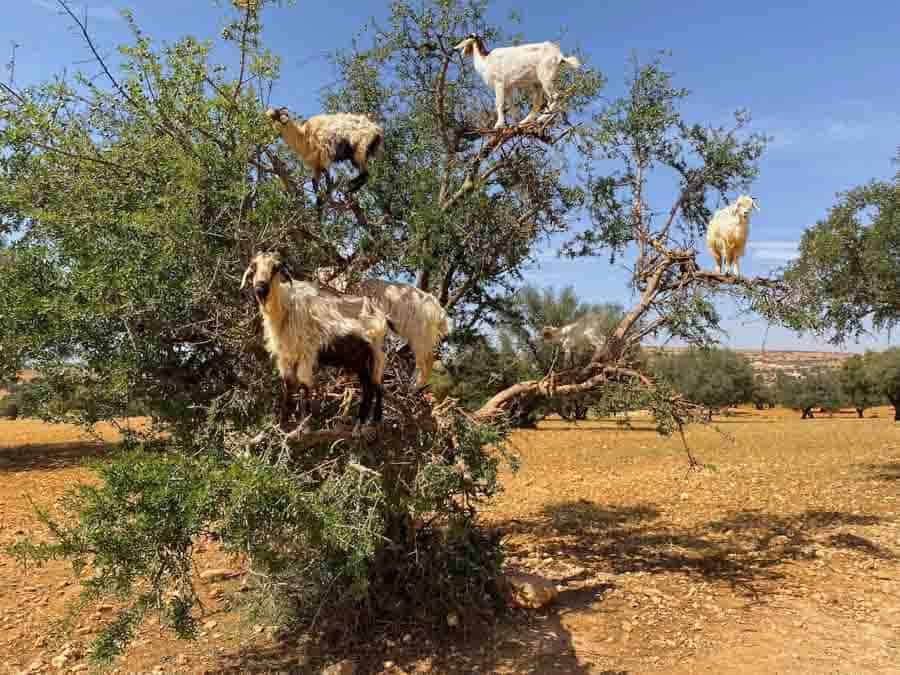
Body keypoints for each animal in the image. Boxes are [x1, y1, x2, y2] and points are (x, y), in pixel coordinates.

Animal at [241, 252, 392, 434]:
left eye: (275, 268)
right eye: (254, 267)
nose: (260, 289)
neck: (286, 307)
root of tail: (380, 316)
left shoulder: (307, 352)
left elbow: (304, 384)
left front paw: (304, 424)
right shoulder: (285, 356)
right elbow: (288, 386)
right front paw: (283, 424)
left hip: (374, 354)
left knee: (376, 386)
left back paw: (373, 420)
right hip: (359, 360)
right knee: (369, 387)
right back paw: (360, 421)